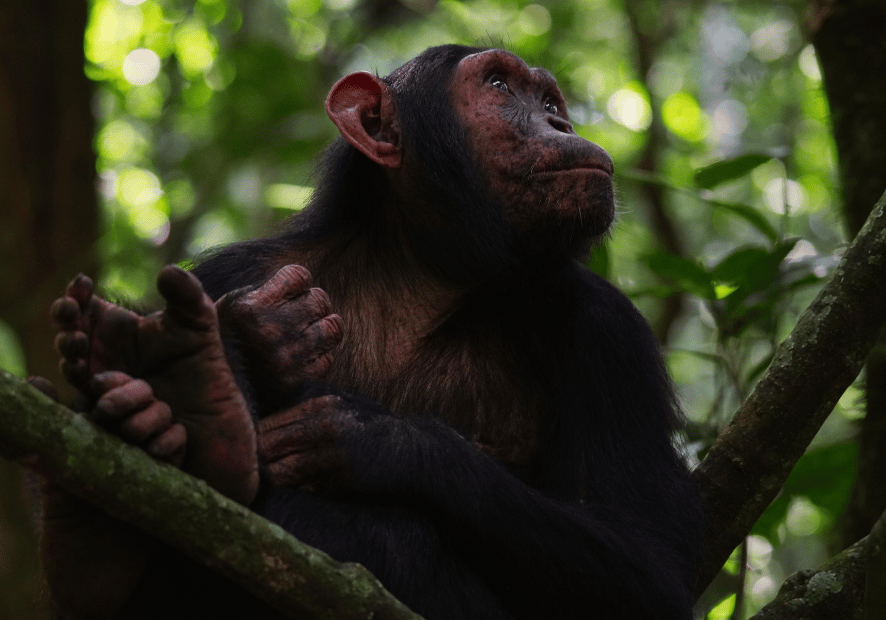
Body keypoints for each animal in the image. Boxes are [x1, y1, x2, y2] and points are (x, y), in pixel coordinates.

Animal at [43, 47, 700, 620]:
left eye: (547, 98)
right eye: (498, 85)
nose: (558, 121)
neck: (423, 274)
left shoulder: (609, 335)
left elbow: (649, 563)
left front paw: (374, 438)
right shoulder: (222, 275)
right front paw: (252, 340)